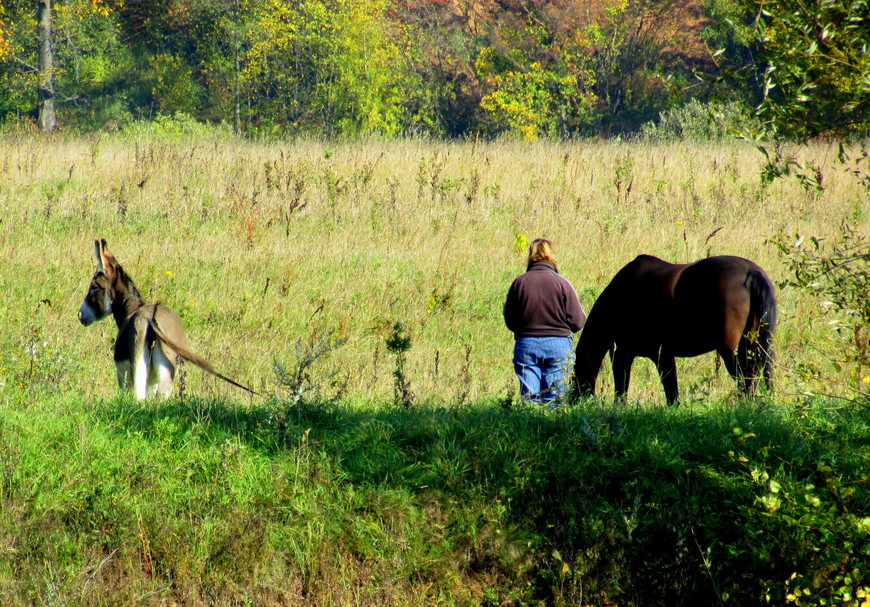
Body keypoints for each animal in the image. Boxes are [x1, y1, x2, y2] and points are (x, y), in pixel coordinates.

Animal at [576, 254, 780, 406]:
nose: (573, 400)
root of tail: (751, 272)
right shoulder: (663, 355)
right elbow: (671, 390)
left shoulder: (626, 353)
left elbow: (622, 387)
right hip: (753, 343)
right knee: (755, 372)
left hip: (727, 349)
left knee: (744, 376)